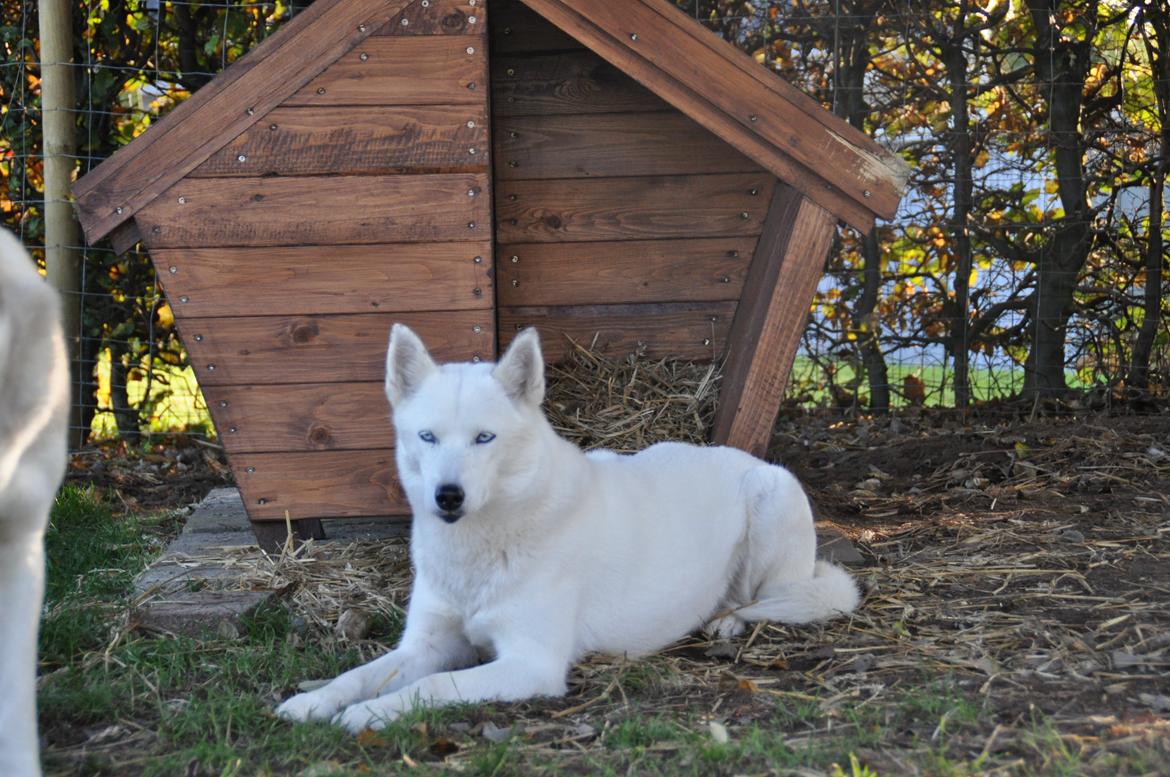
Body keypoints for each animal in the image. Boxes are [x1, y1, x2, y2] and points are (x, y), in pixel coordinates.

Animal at [277, 322, 856, 734]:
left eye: (484, 438)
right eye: (427, 436)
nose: (447, 496)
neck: (482, 544)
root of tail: (744, 455)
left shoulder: (531, 664)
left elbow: (437, 685)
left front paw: (369, 714)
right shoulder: (427, 644)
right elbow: (360, 674)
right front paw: (313, 700)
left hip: (771, 502)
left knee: (762, 598)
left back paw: (729, 621)